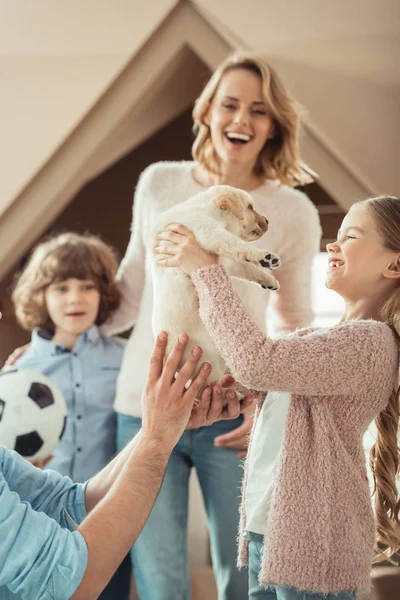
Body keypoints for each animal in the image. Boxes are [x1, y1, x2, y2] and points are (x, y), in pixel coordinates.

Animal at [152, 184, 280, 390]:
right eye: (250, 207)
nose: (267, 220)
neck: (209, 208)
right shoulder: (209, 232)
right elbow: (240, 246)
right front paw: (263, 256)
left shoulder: (228, 261)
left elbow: (247, 267)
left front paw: (267, 278)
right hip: (206, 359)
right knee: (210, 384)